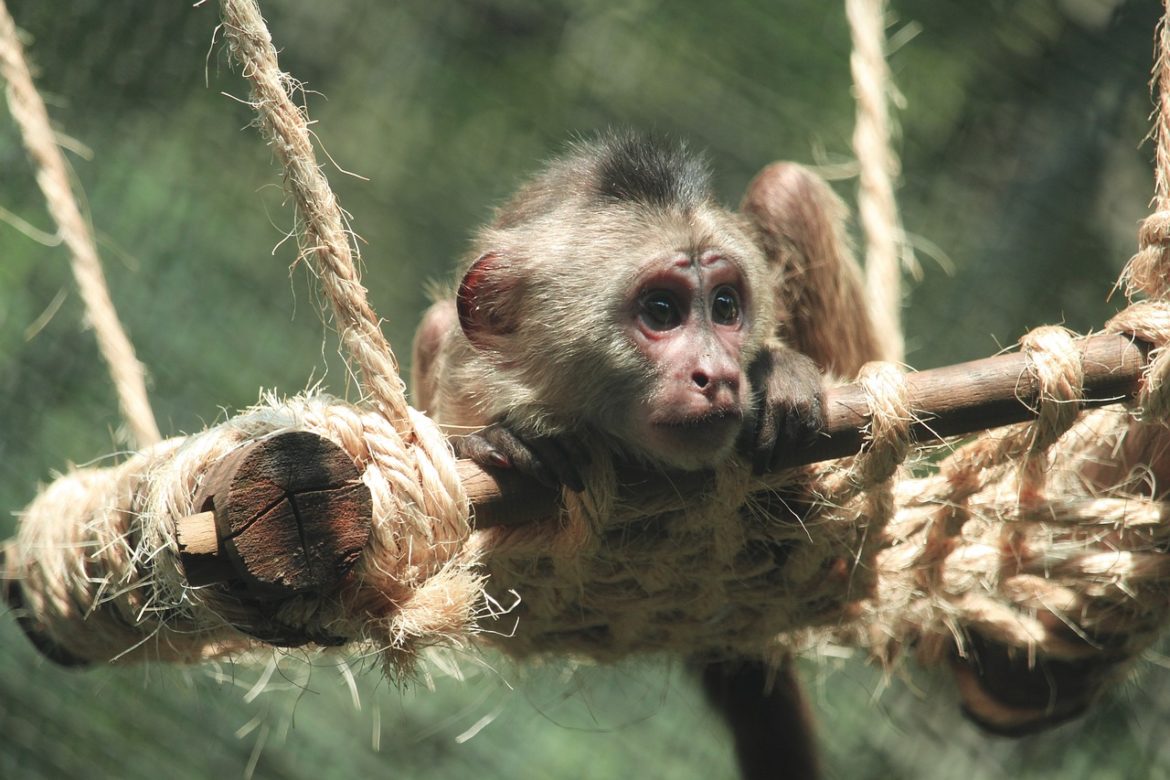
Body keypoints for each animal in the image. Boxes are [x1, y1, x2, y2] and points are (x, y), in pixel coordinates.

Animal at [411, 130, 879, 776]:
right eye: (661, 311)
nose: (719, 375)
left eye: (726, 306)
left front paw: (778, 371)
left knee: (783, 187)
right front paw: (497, 439)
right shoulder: (465, 377)